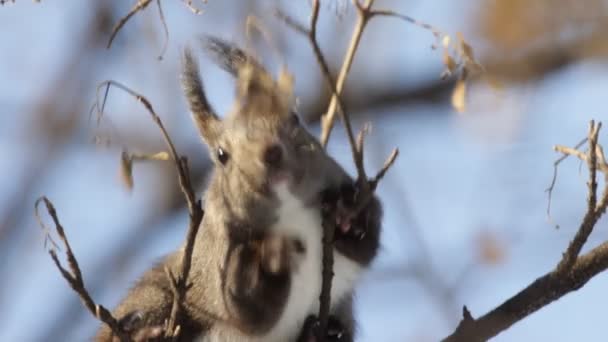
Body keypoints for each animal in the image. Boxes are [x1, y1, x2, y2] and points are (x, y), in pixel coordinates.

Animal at [97, 37, 382, 342]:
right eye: (221, 155)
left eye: (295, 119)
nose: (270, 153)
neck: (291, 212)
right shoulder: (218, 262)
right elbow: (246, 309)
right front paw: (273, 256)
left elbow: (368, 246)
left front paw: (350, 217)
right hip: (155, 297)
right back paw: (145, 334)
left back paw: (323, 332)